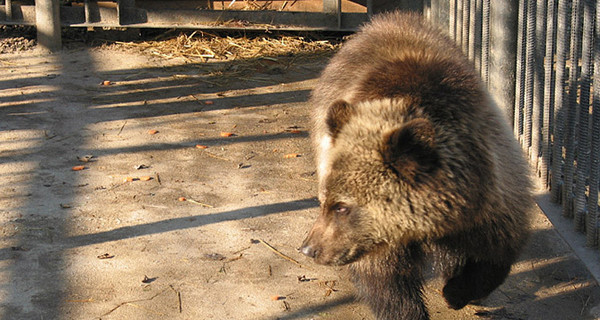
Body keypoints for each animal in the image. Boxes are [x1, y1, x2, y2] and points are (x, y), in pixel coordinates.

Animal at [300, 10, 536, 320]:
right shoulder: (378, 240)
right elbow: (386, 282)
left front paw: (457, 292)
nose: (309, 248)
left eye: (342, 206)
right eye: (325, 200)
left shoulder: (492, 194)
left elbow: (495, 255)